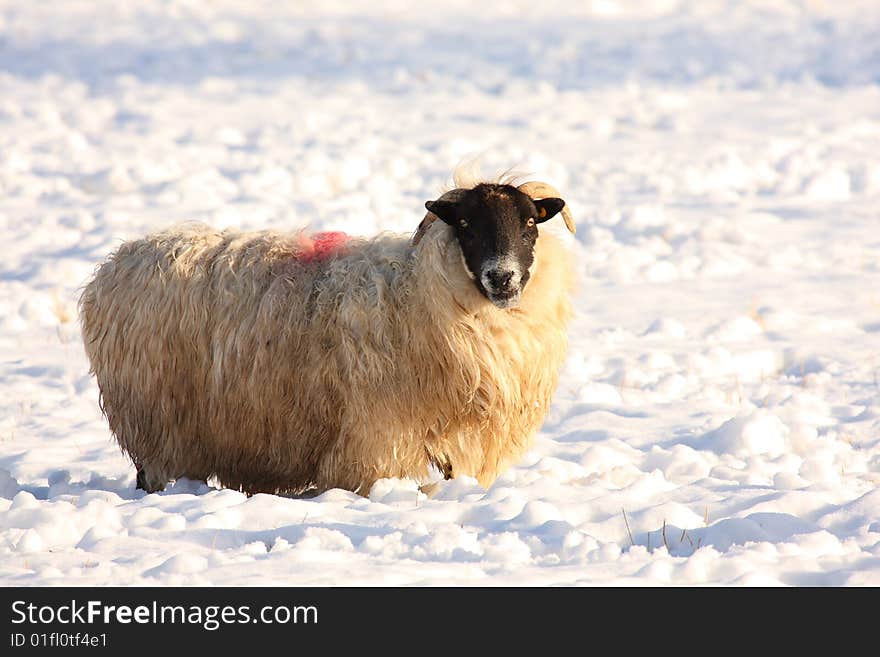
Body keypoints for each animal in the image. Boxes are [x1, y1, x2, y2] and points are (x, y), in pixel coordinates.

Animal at [81, 169, 576, 492]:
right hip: (158, 420)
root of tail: (118, 261)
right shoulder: (378, 434)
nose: (502, 277)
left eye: (530, 222)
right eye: (467, 225)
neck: (418, 290)